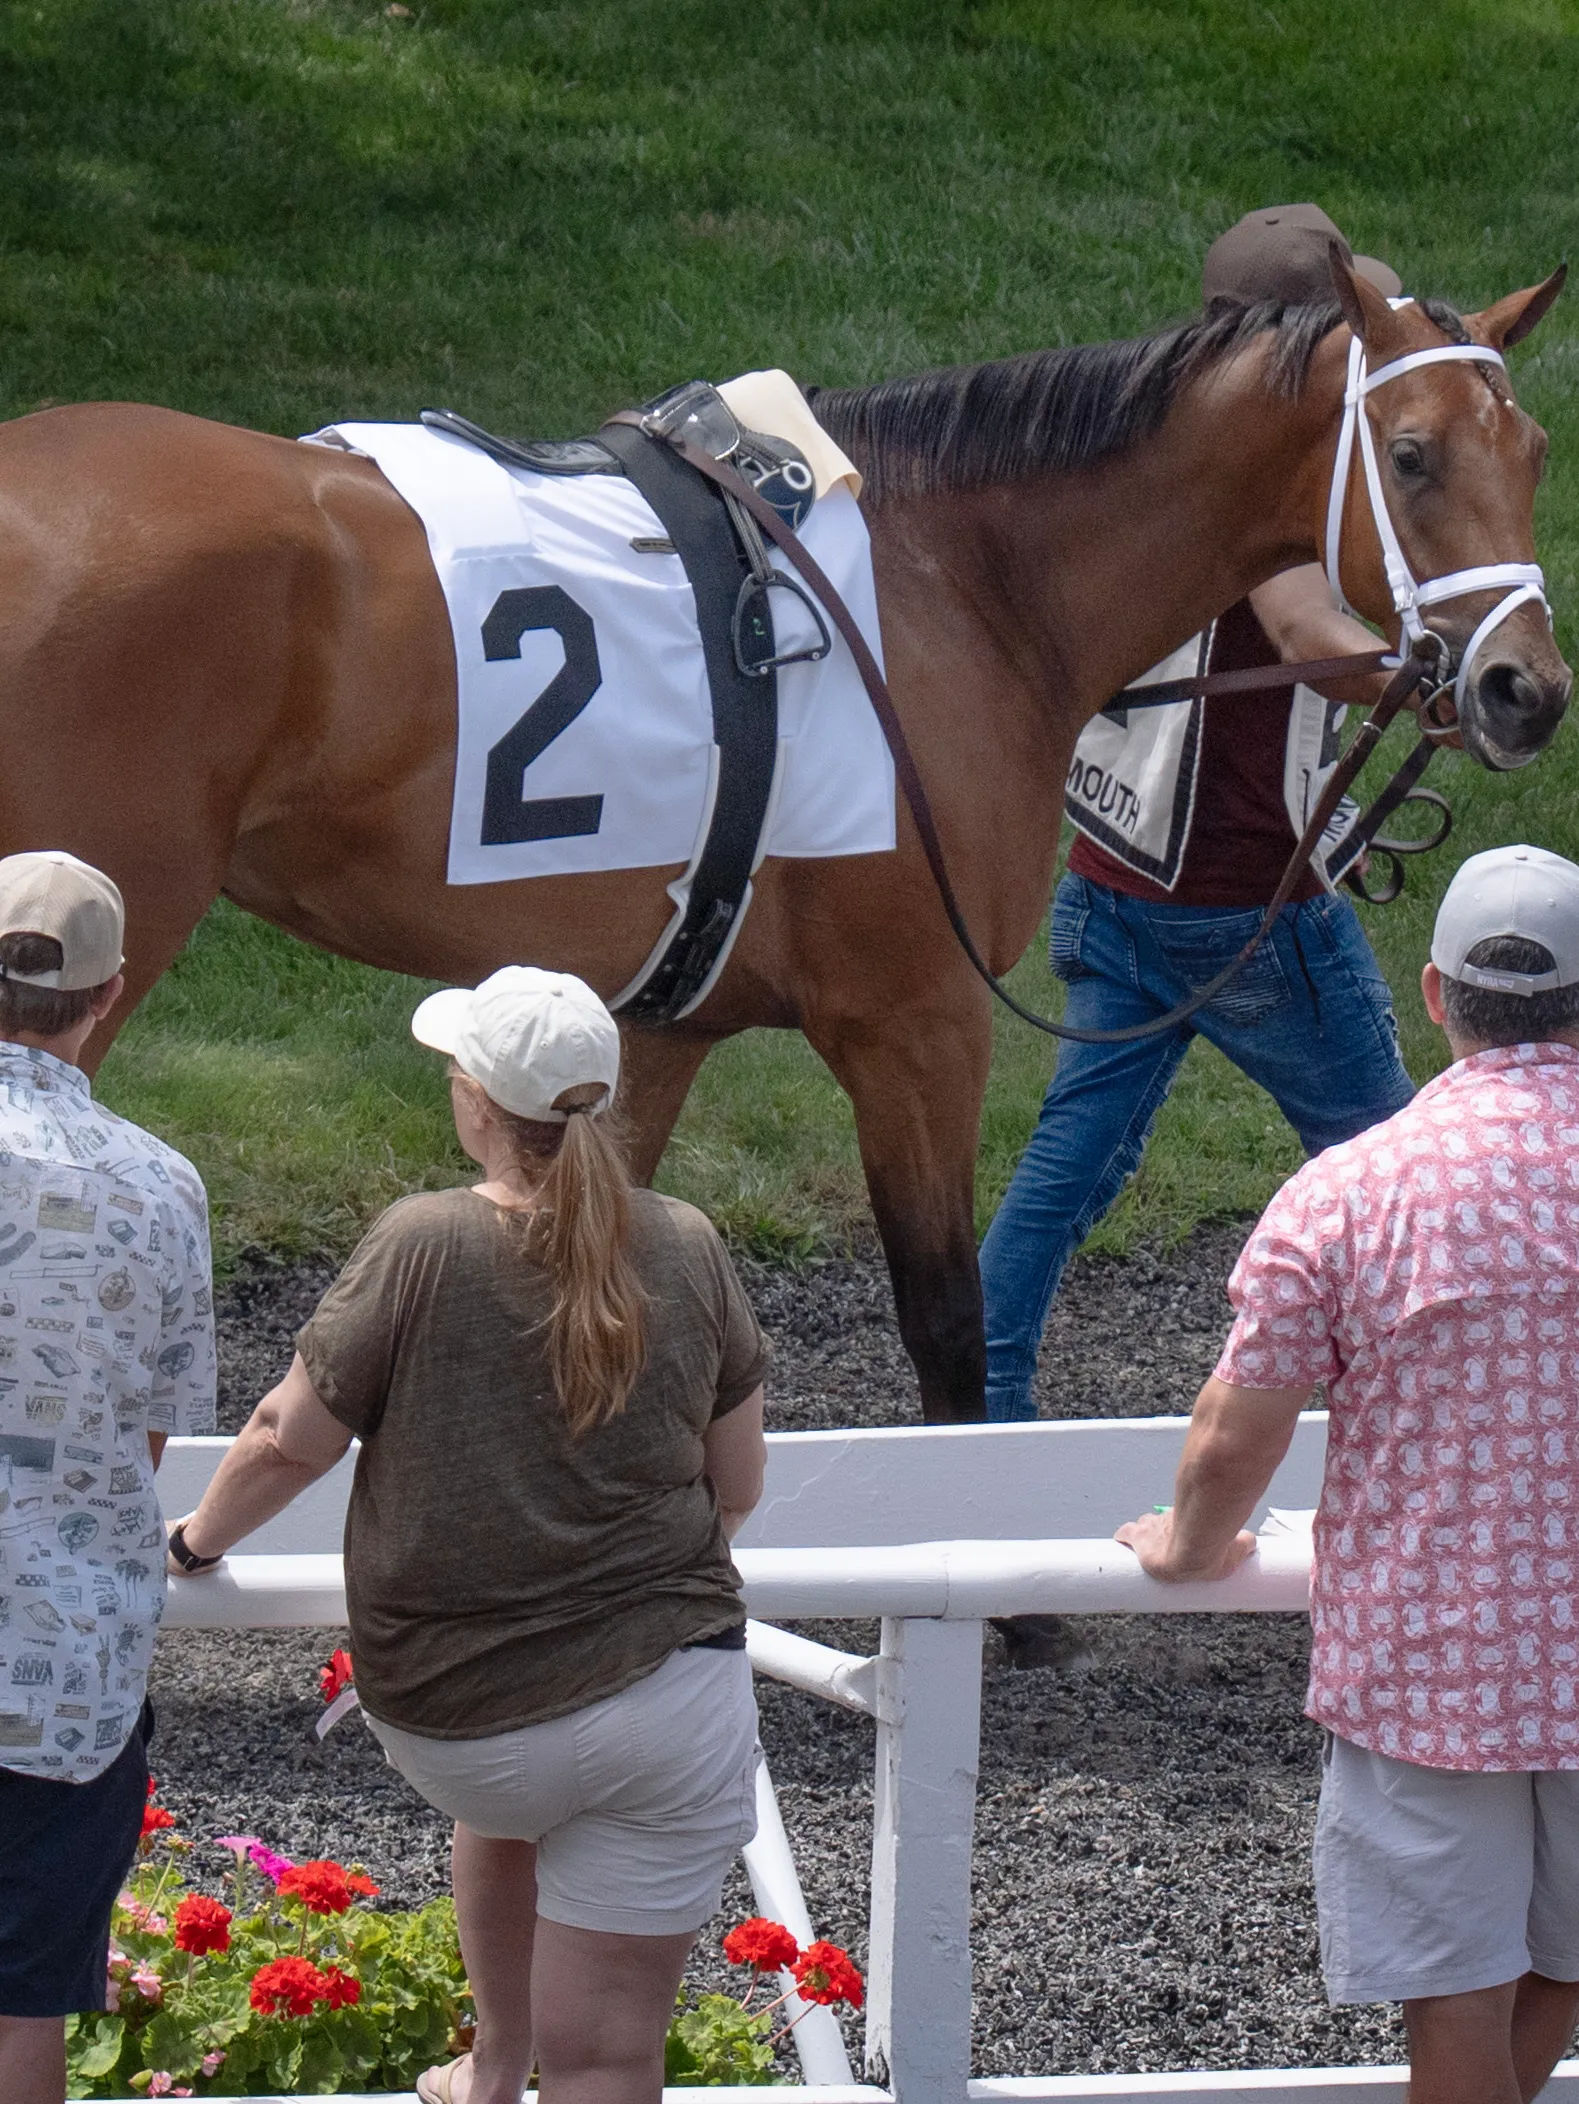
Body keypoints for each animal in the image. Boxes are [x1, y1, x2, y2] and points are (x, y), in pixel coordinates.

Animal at [0, 259, 1566, 1422]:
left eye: (1534, 450)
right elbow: (945, 1317)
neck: (962, 583)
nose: (1523, 689)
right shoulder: (916, 1021)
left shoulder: (653, 1023)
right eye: (1410, 457)